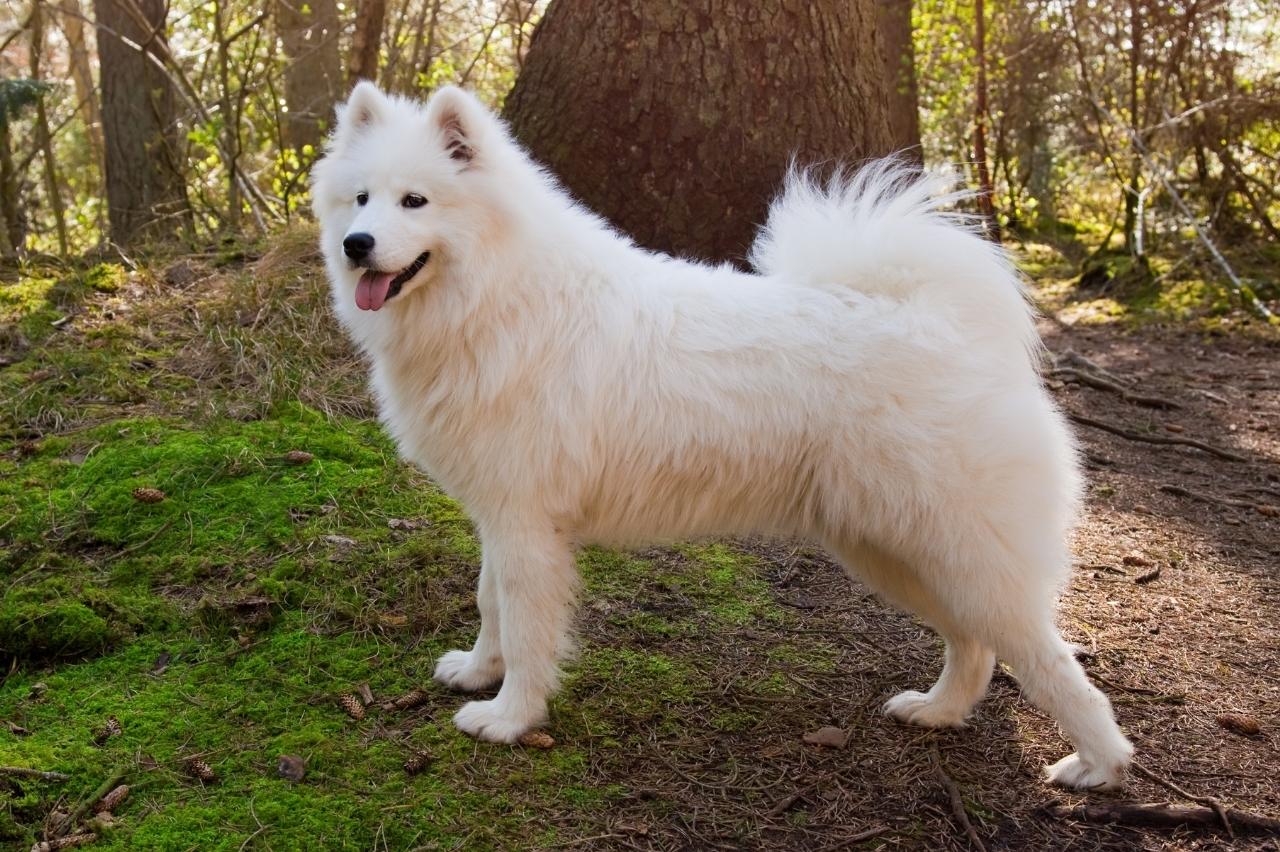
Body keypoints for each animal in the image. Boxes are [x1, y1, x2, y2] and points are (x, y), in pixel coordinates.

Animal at [314, 83, 1136, 788]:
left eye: (415, 200)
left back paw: (1098, 765)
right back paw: (938, 711)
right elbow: (489, 604)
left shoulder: (525, 525)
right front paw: (479, 675)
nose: (357, 243)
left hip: (954, 548)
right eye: (360, 198)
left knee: (1048, 659)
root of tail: (945, 324)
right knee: (974, 645)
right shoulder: (500, 517)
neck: (497, 296)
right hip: (896, 549)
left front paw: (509, 717)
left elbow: (524, 627)